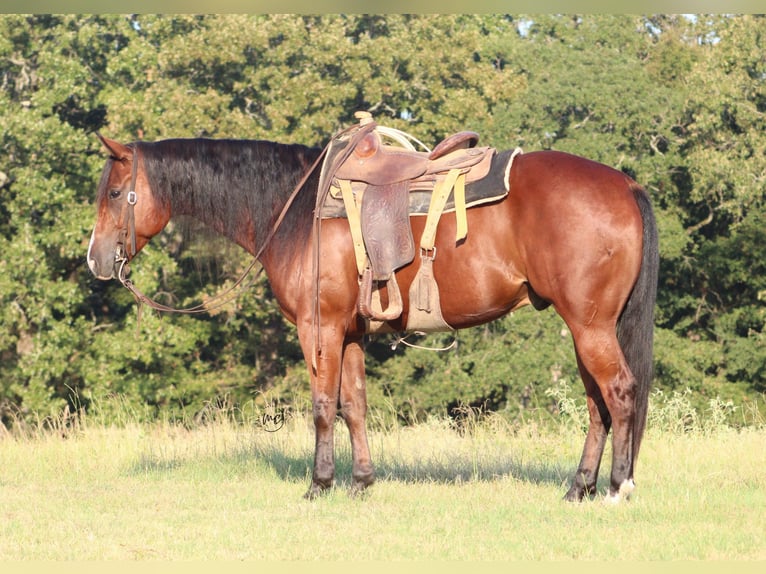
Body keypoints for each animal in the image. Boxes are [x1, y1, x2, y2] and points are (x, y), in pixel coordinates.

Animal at [87, 126, 658, 503]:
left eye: (115, 192)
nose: (95, 259)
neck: (296, 212)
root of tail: (625, 185)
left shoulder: (318, 328)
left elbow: (323, 406)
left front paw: (319, 484)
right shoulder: (350, 333)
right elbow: (355, 405)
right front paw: (361, 482)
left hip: (589, 327)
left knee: (619, 393)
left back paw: (618, 486)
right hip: (587, 327)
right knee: (597, 406)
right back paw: (579, 488)